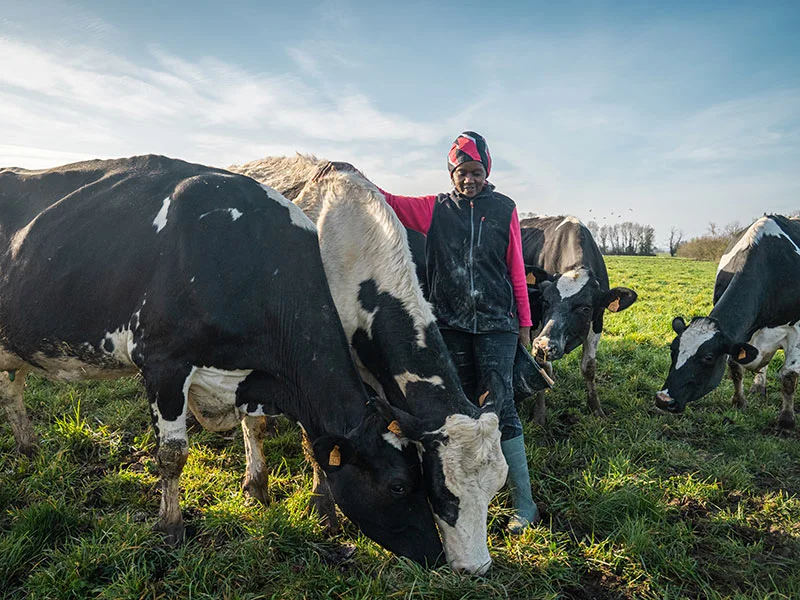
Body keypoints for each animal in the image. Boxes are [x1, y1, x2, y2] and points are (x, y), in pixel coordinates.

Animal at [0, 155, 444, 566]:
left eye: (424, 478)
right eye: (398, 485)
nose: (436, 556)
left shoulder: (249, 377)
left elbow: (256, 426)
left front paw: (258, 489)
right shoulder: (163, 363)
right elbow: (173, 455)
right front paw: (171, 527)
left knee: (11, 391)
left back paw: (28, 449)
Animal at [228, 155, 509, 575]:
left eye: (496, 488)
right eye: (444, 492)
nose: (475, 568)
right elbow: (318, 444)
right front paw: (323, 511)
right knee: (252, 423)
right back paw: (255, 484)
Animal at [519, 216, 638, 422]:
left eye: (585, 308)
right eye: (544, 300)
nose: (544, 346)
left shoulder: (597, 321)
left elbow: (588, 368)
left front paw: (596, 409)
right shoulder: (538, 325)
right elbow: (542, 368)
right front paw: (540, 415)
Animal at [656, 215, 800, 429]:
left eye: (708, 357)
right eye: (672, 349)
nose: (664, 400)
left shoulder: (796, 331)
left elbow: (789, 376)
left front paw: (787, 421)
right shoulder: (741, 335)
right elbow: (735, 367)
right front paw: (739, 402)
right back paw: (758, 387)